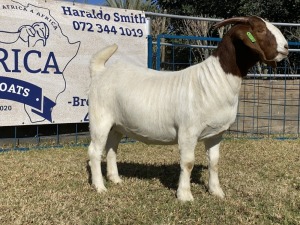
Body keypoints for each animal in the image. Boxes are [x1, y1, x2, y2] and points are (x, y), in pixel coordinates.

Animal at [88, 16, 290, 202]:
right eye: (259, 30)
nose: (287, 47)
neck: (216, 79)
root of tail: (100, 71)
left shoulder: (217, 133)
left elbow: (214, 162)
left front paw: (216, 191)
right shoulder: (188, 131)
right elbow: (188, 163)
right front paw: (184, 195)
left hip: (117, 124)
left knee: (112, 148)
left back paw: (115, 179)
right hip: (100, 119)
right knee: (95, 151)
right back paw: (100, 187)